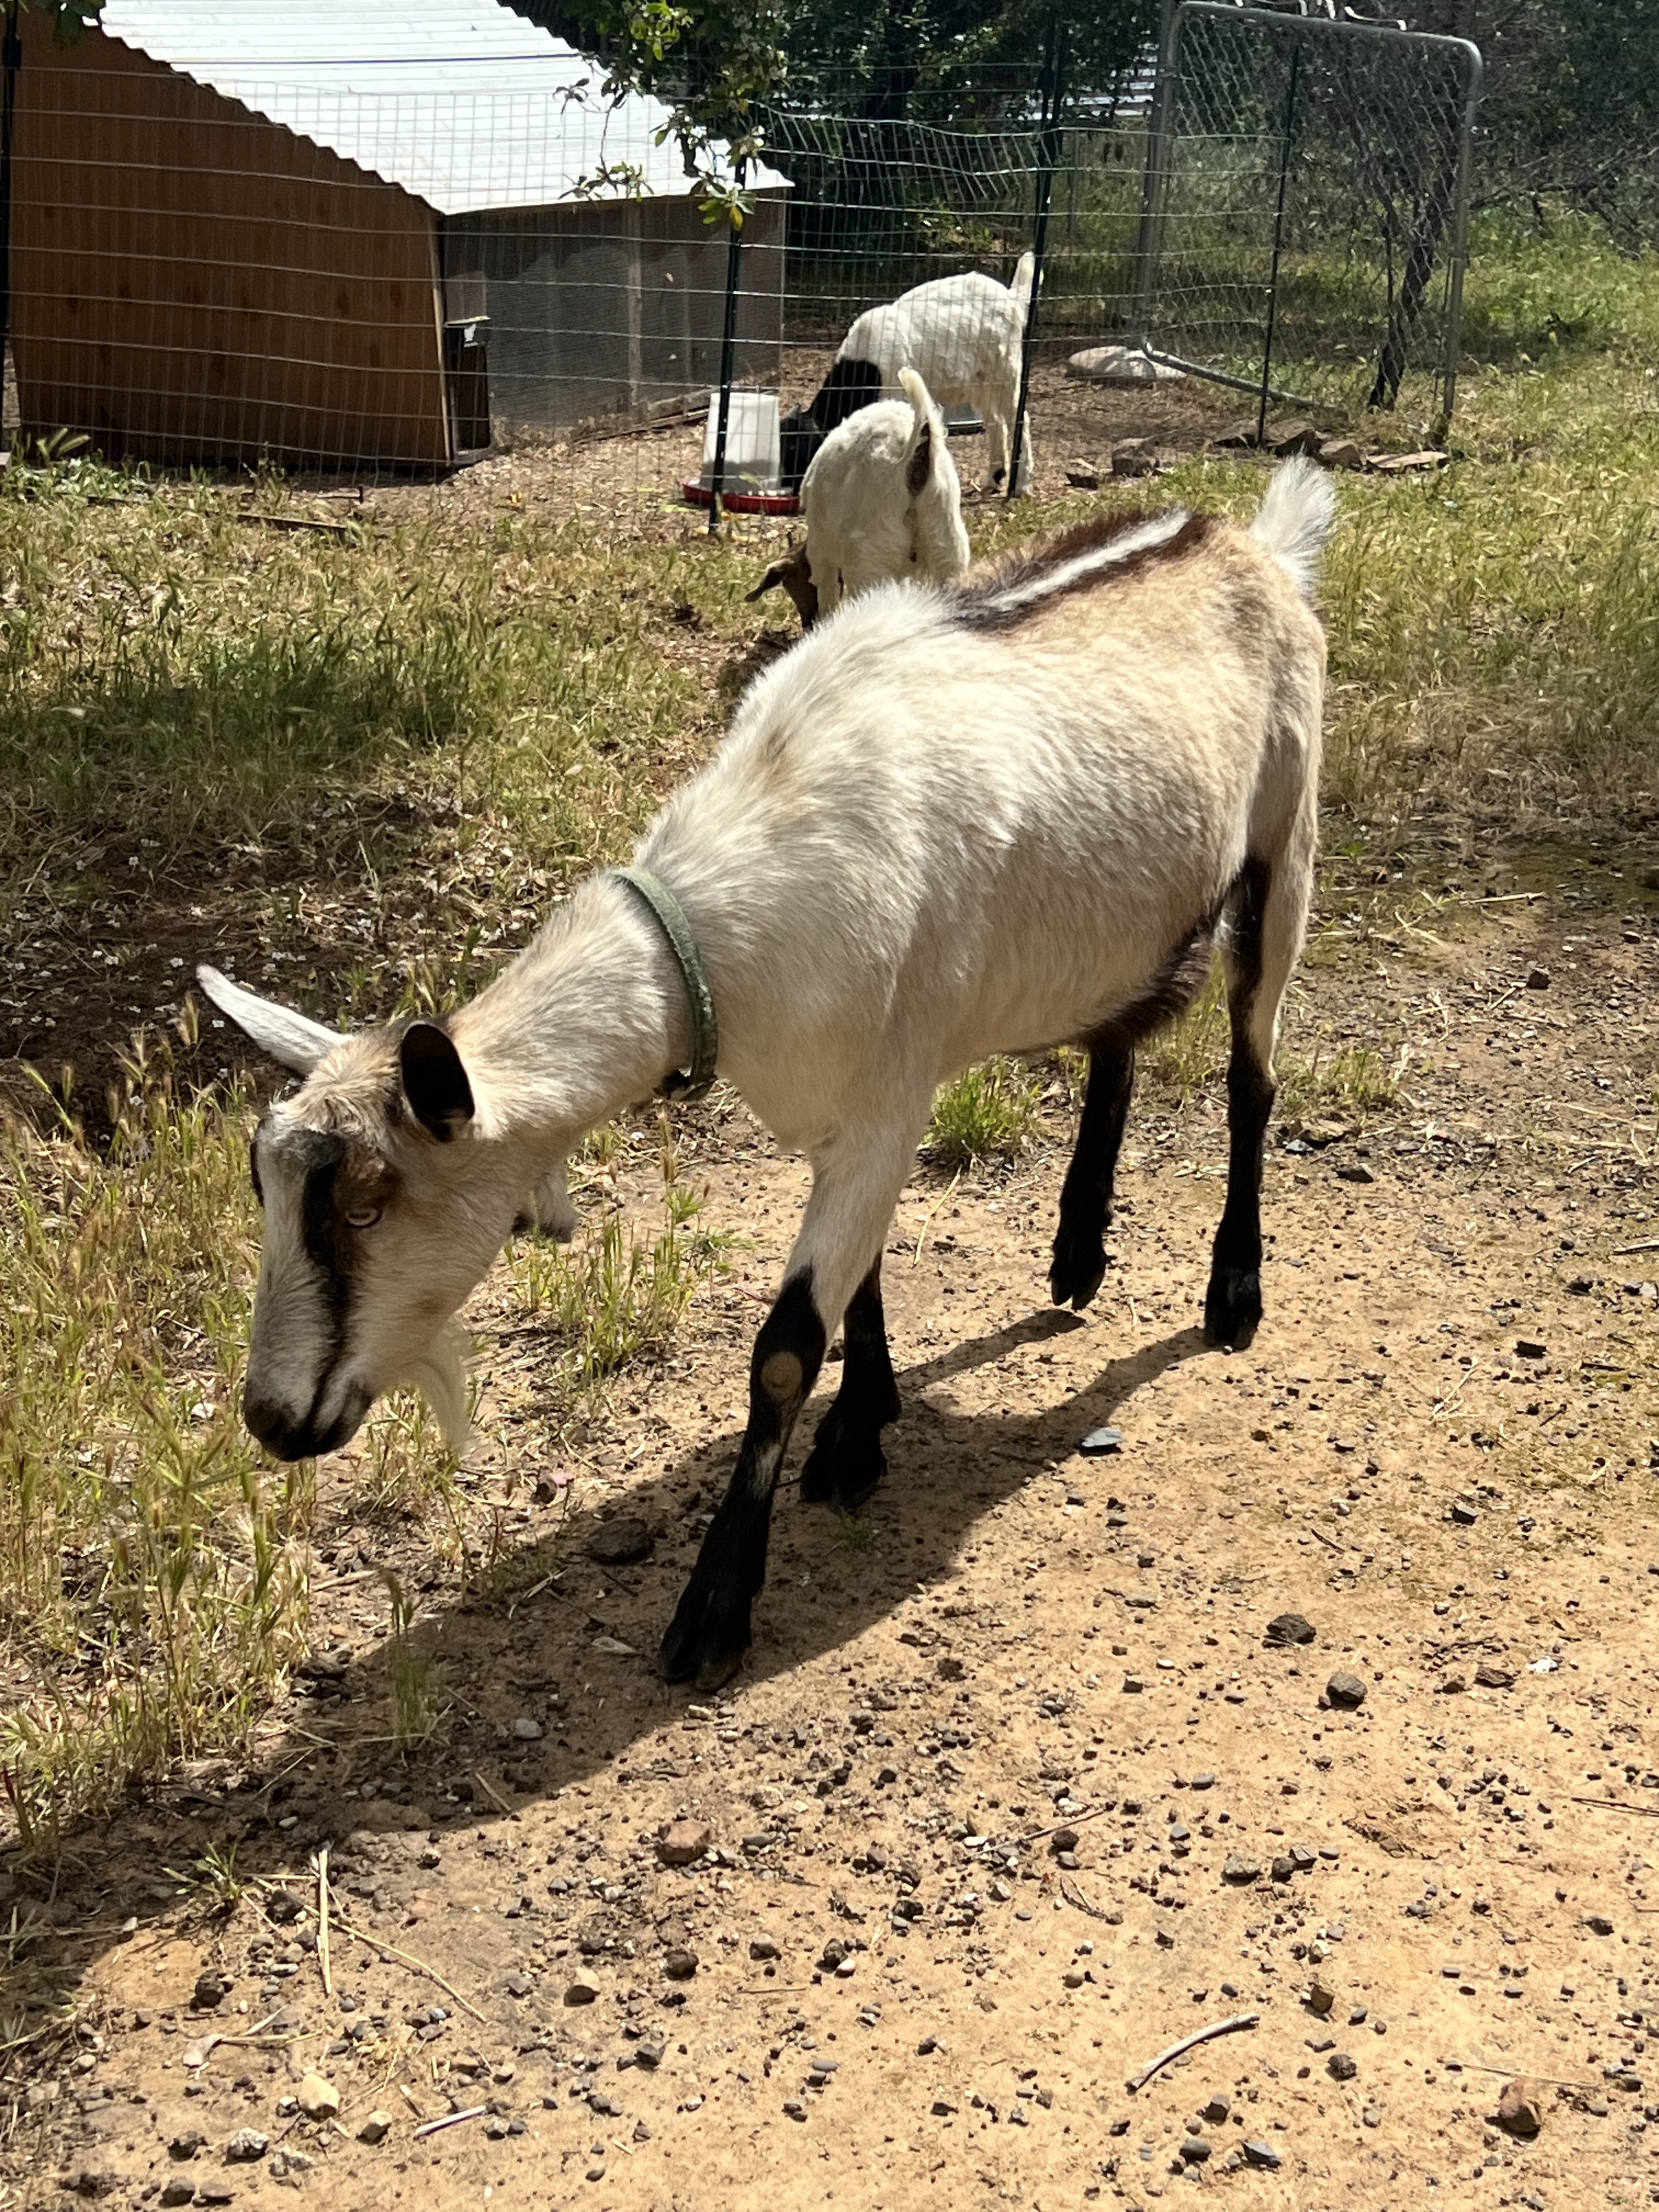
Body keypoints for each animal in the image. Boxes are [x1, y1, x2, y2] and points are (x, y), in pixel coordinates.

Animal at [200, 460, 1337, 1695]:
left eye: (366, 1205)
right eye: (269, 1190)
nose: (270, 1418)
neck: (714, 934)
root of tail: (1250, 540)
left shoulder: (888, 1098)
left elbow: (786, 1348)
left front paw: (715, 1607)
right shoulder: (841, 1109)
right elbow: (864, 1279)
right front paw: (862, 1427)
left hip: (1285, 841)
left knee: (1251, 1074)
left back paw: (1232, 1292)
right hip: (1126, 914)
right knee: (1118, 1038)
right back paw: (1077, 1251)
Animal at [749, 369, 969, 626]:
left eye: (791, 584)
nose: (807, 623)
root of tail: (914, 452)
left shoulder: (821, 553)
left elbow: (827, 595)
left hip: (870, 560)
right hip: (947, 548)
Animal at [779, 253, 1037, 495]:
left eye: (798, 450)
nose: (789, 486)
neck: (865, 372)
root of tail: (1012, 299)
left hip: (1006, 371)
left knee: (1019, 419)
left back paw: (1022, 484)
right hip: (980, 383)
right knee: (996, 422)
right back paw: (994, 477)